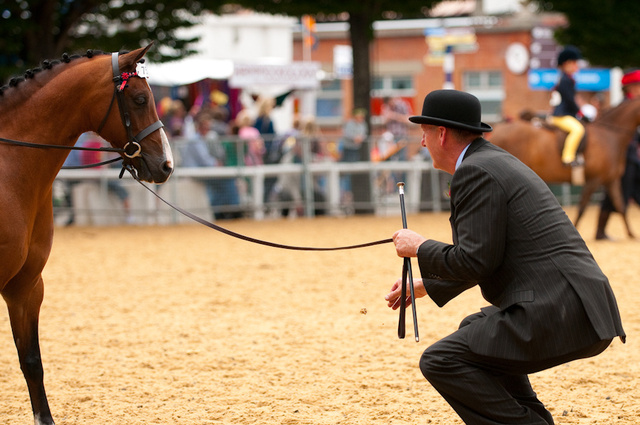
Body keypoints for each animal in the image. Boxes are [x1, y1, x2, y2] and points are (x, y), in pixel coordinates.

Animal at [488, 98, 636, 238]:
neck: (609, 136)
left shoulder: (611, 180)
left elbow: (620, 206)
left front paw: (631, 234)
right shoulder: (594, 180)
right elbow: (582, 206)